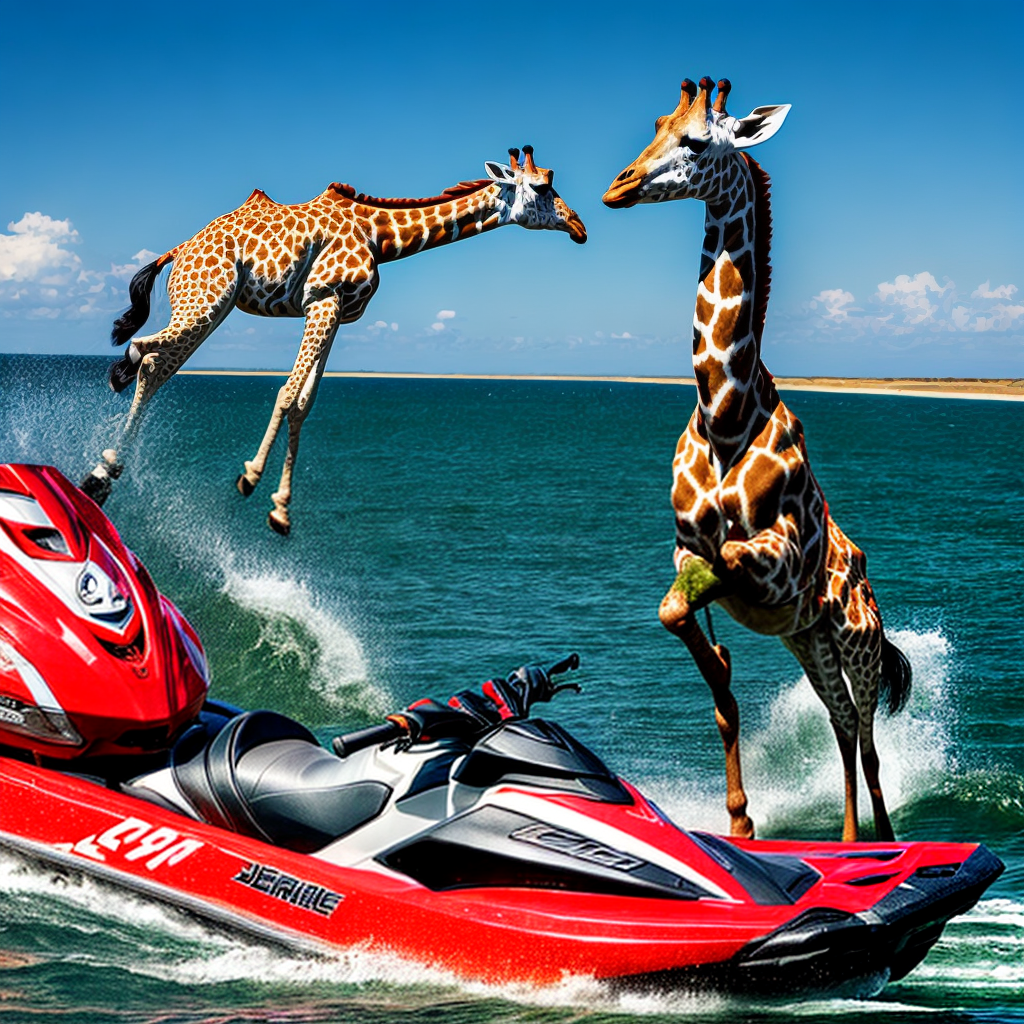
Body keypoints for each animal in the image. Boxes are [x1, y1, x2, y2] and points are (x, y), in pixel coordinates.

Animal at [81, 147, 587, 534]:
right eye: (543, 187)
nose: (580, 227)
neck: (380, 237)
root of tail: (179, 250)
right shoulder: (321, 298)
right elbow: (287, 393)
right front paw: (250, 477)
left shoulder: (338, 313)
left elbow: (304, 404)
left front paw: (280, 512)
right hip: (205, 299)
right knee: (143, 356)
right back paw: (104, 464)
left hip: (212, 307)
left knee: (155, 366)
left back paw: (102, 477)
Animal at [603, 77, 911, 842]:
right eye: (657, 124)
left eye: (695, 141)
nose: (618, 185)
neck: (725, 416)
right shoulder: (687, 552)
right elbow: (693, 640)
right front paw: (739, 820)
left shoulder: (774, 559)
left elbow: (723, 571)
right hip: (810, 644)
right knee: (840, 725)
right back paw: (850, 842)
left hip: (856, 642)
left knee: (867, 737)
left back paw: (882, 844)